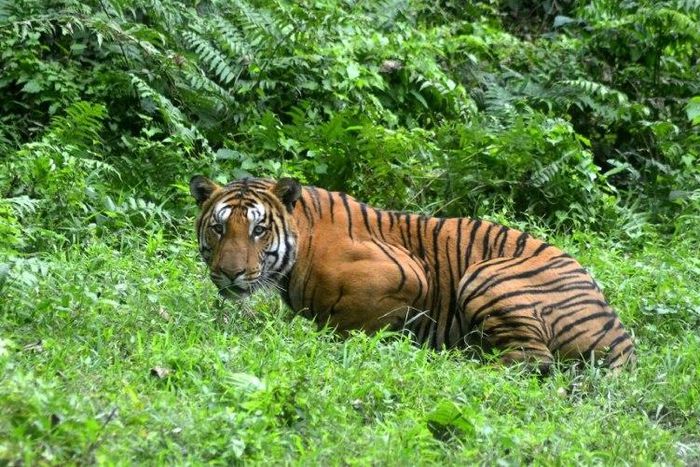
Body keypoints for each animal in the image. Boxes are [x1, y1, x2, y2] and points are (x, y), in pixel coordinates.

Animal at [189, 175, 636, 373]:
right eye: (219, 228)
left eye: (258, 230)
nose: (229, 274)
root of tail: (621, 339)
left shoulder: (408, 273)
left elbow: (347, 323)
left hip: (486, 275)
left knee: (531, 360)